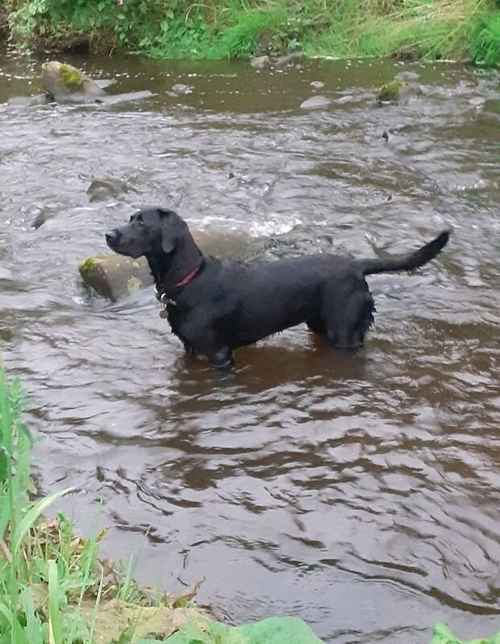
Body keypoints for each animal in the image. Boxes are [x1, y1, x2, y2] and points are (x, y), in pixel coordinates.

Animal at [105, 206, 450, 368]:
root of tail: (356, 265)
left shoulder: (219, 354)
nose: (108, 234)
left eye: (142, 223)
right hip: (319, 325)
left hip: (344, 333)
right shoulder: (190, 350)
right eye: (130, 217)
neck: (191, 278)